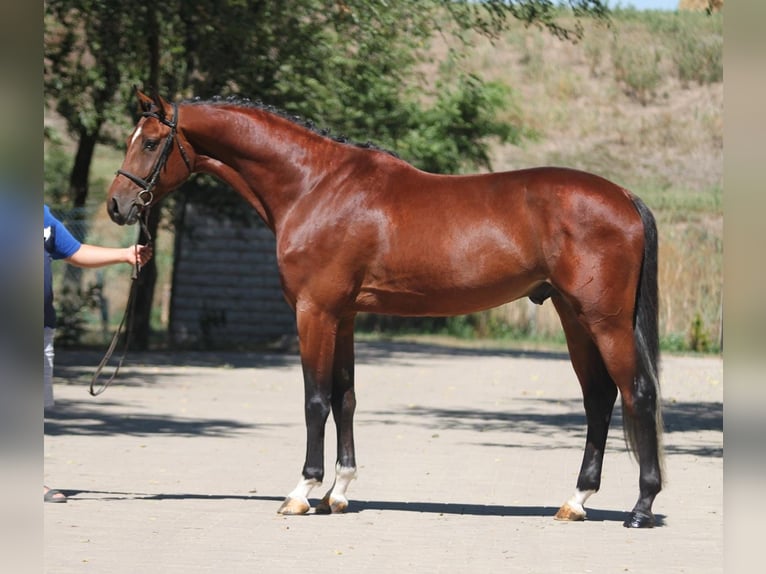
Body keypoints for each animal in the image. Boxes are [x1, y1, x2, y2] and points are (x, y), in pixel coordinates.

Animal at [106, 91, 664, 532]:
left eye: (150, 142)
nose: (116, 205)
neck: (315, 185)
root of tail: (624, 196)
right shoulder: (345, 316)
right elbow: (346, 397)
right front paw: (338, 492)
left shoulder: (314, 312)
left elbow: (315, 401)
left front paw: (302, 493)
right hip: (575, 319)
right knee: (599, 398)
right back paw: (576, 501)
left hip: (605, 322)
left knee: (636, 394)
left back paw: (641, 507)